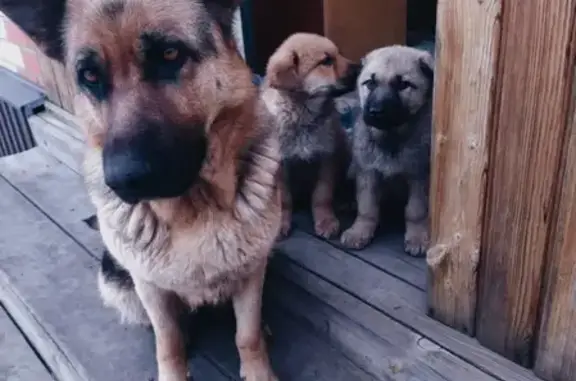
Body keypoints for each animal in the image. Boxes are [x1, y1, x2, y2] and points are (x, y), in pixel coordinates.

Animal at [0, 0, 284, 380]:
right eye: (90, 77)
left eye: (169, 54)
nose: (122, 180)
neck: (196, 208)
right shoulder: (150, 288)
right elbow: (169, 342)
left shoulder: (252, 273)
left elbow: (247, 334)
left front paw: (257, 367)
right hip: (114, 280)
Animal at [260, 32, 360, 238]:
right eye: (326, 61)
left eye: (338, 54)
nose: (361, 66)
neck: (302, 114)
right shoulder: (280, 164)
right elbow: (285, 198)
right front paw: (282, 222)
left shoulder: (328, 156)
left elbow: (322, 194)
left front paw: (326, 220)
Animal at [340, 46, 434, 255]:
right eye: (370, 83)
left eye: (403, 85)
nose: (375, 112)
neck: (391, 137)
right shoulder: (368, 172)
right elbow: (367, 207)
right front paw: (360, 231)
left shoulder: (419, 177)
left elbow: (415, 210)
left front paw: (417, 236)